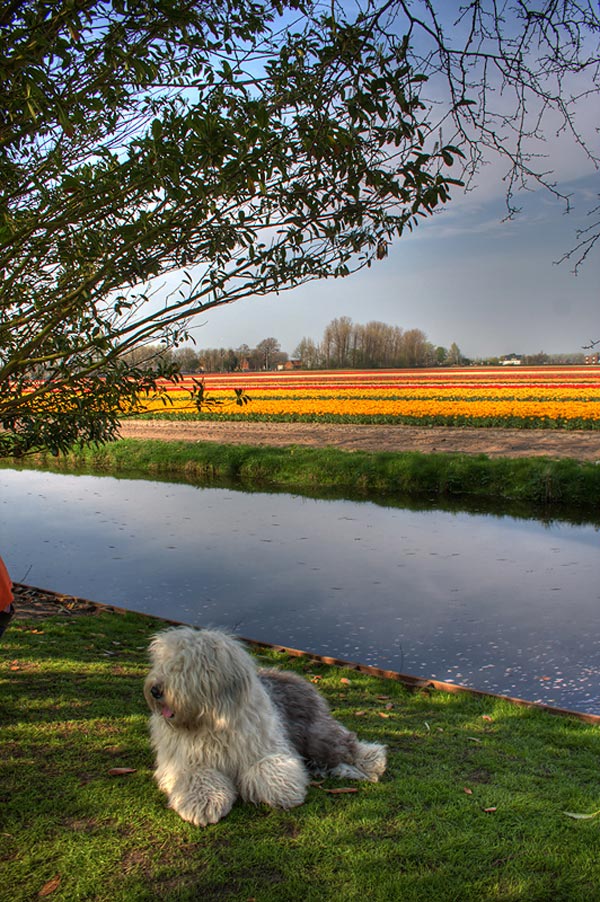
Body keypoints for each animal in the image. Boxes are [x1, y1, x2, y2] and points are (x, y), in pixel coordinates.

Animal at [146, 628, 390, 828]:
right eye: (162, 662)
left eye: (184, 666)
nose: (155, 690)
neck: (211, 723)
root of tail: (294, 676)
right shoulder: (182, 762)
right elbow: (197, 776)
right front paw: (203, 804)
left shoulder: (266, 747)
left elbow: (267, 768)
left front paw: (283, 791)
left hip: (317, 736)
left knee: (347, 744)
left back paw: (373, 761)